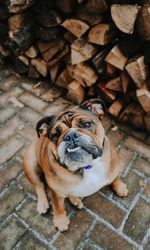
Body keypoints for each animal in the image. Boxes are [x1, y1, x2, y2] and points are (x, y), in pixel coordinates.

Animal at [22, 98, 128, 231]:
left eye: (87, 124)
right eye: (56, 134)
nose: (70, 135)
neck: (86, 166)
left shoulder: (113, 165)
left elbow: (116, 178)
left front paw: (120, 187)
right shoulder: (56, 193)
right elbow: (58, 207)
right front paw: (60, 221)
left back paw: (75, 199)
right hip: (30, 164)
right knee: (38, 185)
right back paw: (43, 204)